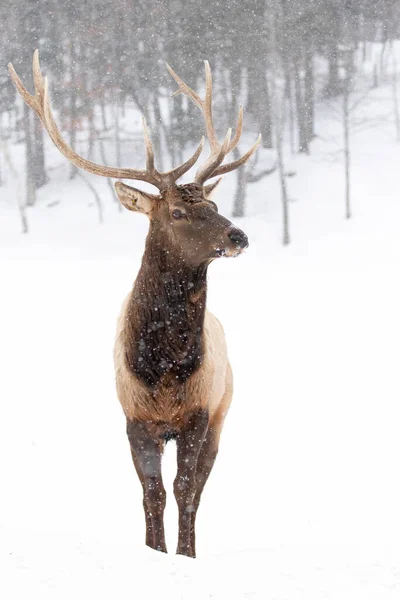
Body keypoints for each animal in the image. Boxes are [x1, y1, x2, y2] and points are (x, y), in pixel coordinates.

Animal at [9, 51, 260, 556]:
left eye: (212, 205)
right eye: (178, 212)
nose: (238, 235)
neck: (162, 367)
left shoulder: (198, 413)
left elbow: (184, 488)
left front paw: (184, 555)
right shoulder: (135, 417)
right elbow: (151, 491)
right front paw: (153, 551)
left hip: (223, 411)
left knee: (201, 485)